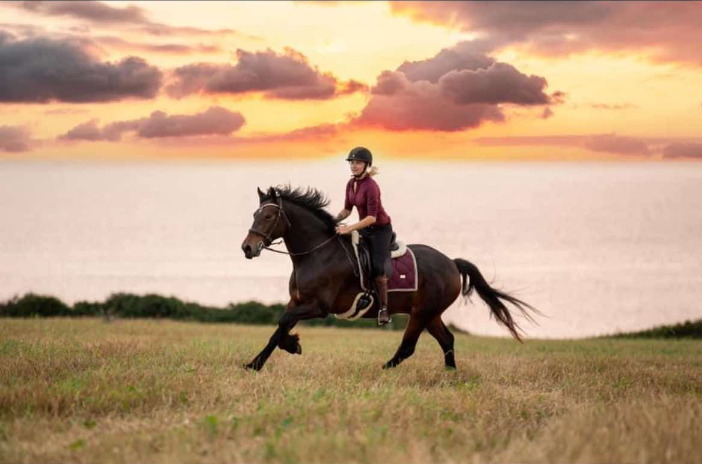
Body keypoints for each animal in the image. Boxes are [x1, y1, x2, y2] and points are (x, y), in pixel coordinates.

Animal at [241, 185, 540, 370]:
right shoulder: (297, 302)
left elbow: (283, 323)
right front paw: (258, 362)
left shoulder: (319, 307)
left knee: (408, 347)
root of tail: (452, 263)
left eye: (269, 216)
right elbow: (279, 328)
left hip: (421, 313)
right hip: (431, 314)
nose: (247, 248)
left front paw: (289, 347)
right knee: (447, 340)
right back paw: (450, 376)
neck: (317, 253)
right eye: (255, 214)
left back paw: (382, 370)